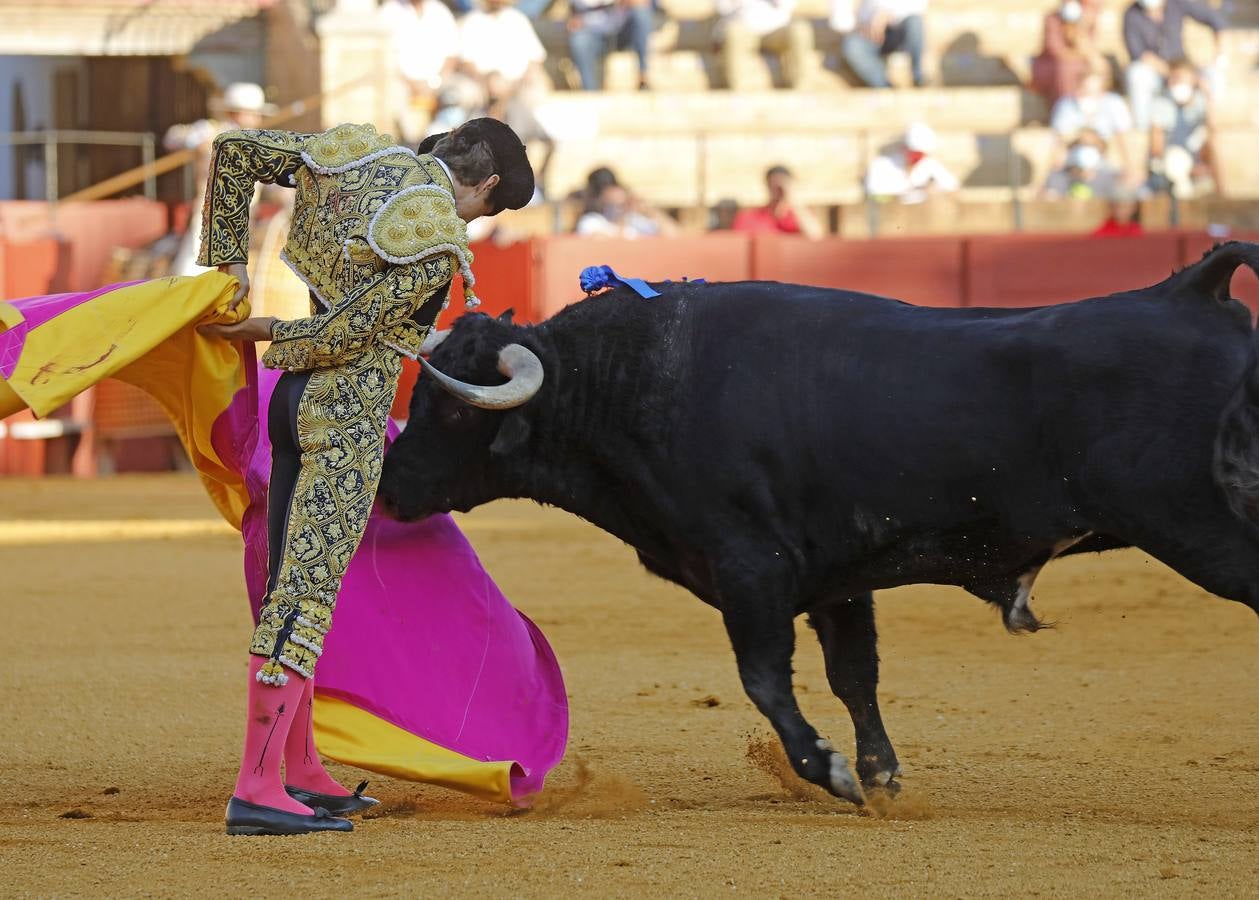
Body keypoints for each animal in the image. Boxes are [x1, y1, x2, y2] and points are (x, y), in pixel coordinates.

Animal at [375, 239, 1259, 800]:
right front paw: (881, 775)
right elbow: (853, 675)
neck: (627, 381)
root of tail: (1192, 288)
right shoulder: (835, 576)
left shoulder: (749, 568)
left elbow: (766, 677)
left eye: (450, 411)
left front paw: (829, 772)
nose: (387, 488)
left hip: (1206, 529)